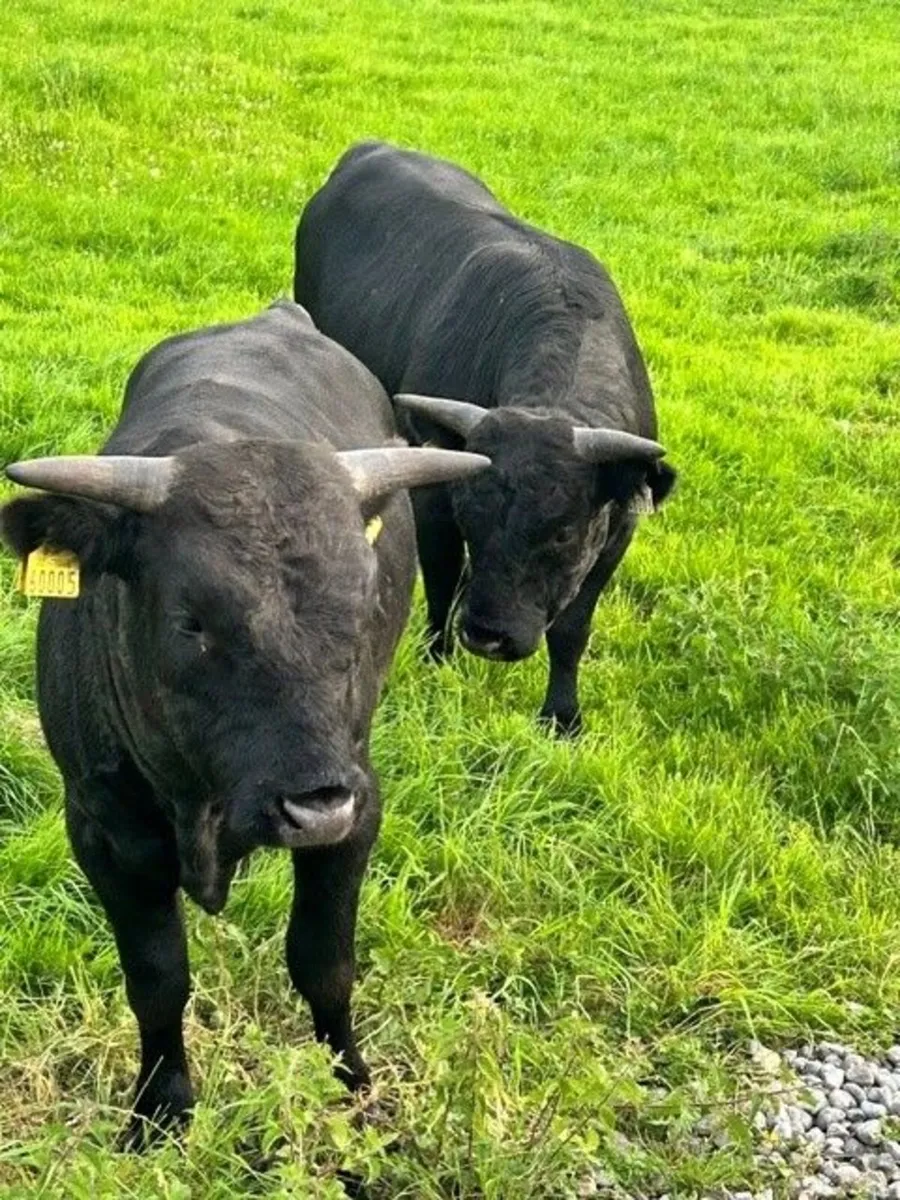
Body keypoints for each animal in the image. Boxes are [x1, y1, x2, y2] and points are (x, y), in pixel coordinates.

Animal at [0, 300, 488, 1147]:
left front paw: (351, 1083)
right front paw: (161, 1106)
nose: (314, 803)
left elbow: (323, 961)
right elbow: (157, 979)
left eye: (363, 604)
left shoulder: (359, 808)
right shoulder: (101, 833)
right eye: (192, 621)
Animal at [294, 142, 677, 735]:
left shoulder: (616, 534)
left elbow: (571, 630)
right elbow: (443, 579)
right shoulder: (434, 500)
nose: (488, 636)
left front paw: (562, 716)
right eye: (470, 515)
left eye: (563, 533)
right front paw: (438, 661)